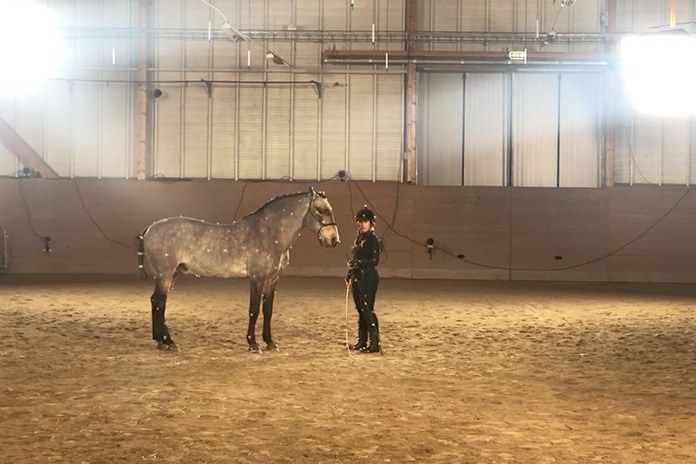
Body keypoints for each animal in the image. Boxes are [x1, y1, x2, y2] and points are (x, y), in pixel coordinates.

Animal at [136, 187, 340, 352]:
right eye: (320, 209)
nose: (334, 240)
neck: (269, 233)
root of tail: (149, 229)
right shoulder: (257, 278)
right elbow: (254, 310)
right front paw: (253, 343)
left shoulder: (272, 279)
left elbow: (268, 310)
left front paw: (270, 342)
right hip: (164, 275)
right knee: (159, 304)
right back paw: (168, 342)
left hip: (170, 275)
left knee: (155, 302)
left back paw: (161, 341)